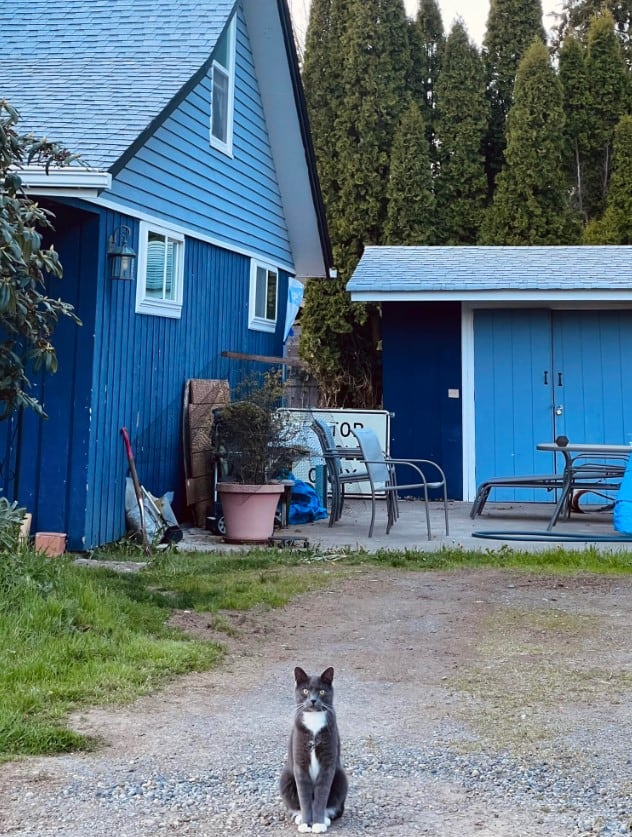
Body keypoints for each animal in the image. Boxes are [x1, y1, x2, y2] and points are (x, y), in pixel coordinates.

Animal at [280, 668, 348, 828]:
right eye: (305, 691)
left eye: (322, 691)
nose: (313, 700)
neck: (314, 720)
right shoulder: (300, 762)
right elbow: (304, 796)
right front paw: (306, 824)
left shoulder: (328, 763)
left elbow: (322, 793)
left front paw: (318, 824)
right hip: (285, 778)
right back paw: (299, 817)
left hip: (341, 778)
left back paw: (326, 817)